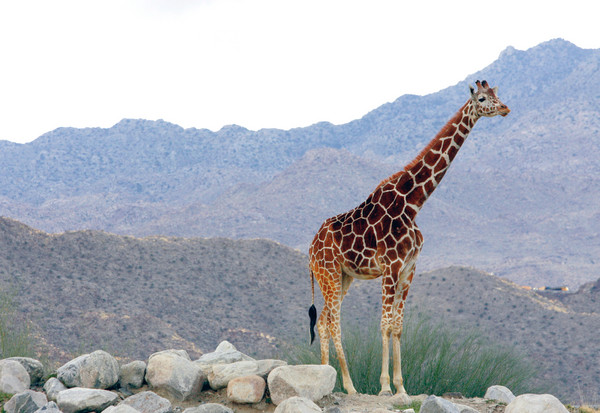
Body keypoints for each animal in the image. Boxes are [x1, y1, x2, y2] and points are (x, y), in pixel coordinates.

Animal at [310, 81, 510, 396]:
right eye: (481, 99)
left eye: (497, 95)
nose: (505, 108)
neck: (413, 204)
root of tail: (310, 248)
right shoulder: (390, 267)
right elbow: (384, 324)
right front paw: (384, 387)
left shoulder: (408, 269)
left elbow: (398, 326)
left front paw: (401, 387)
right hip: (328, 272)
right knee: (334, 323)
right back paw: (350, 386)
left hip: (343, 277)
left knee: (323, 322)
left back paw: (328, 376)